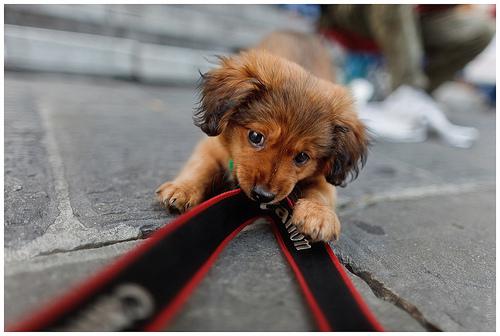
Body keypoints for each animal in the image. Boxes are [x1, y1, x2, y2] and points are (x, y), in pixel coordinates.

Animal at [156, 31, 368, 242]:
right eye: (256, 136)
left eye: (302, 157)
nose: (262, 195)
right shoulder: (211, 147)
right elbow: (200, 166)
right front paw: (182, 188)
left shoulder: (323, 177)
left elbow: (321, 192)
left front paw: (319, 214)